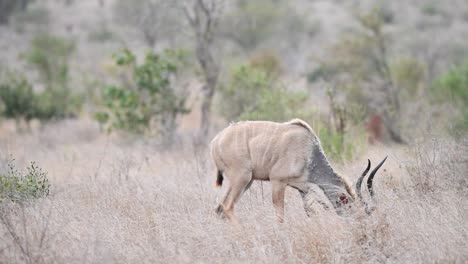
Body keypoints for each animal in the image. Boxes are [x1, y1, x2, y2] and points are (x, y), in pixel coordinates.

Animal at [210, 118, 386, 222]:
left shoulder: (303, 189)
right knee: (227, 207)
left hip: (246, 182)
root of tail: (216, 141)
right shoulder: (278, 182)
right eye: (356, 212)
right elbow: (280, 216)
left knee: (219, 208)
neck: (309, 152)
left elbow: (310, 212)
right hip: (242, 178)